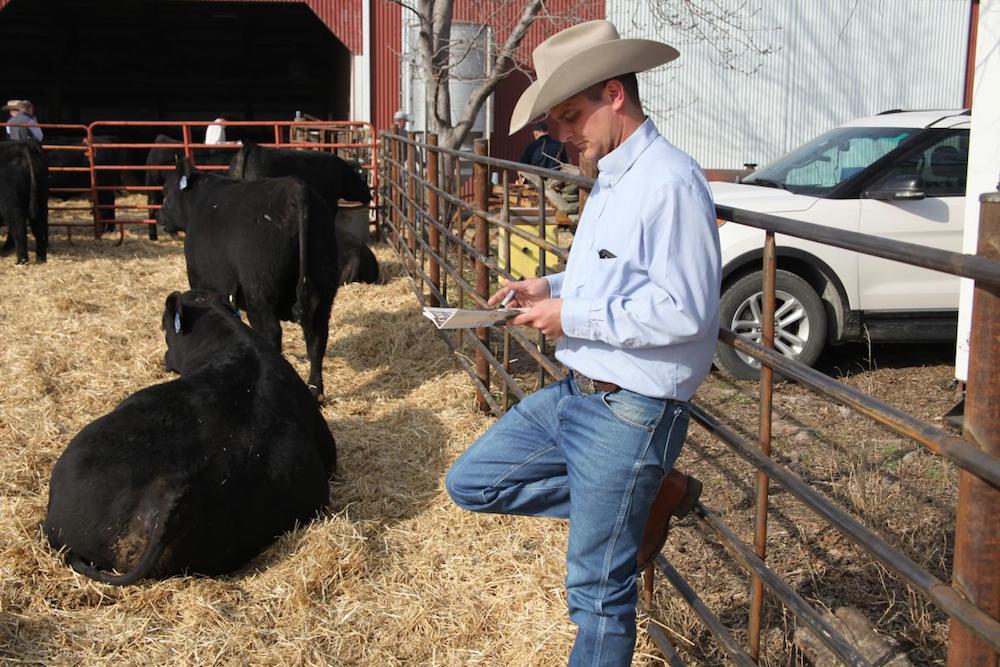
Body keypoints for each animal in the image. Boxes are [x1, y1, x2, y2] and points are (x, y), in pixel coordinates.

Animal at [160, 159, 338, 400]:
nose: (160, 216)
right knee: (317, 339)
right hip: (322, 292)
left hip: (260, 294)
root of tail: (296, 188)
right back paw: (315, 389)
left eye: (166, 192)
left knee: (273, 333)